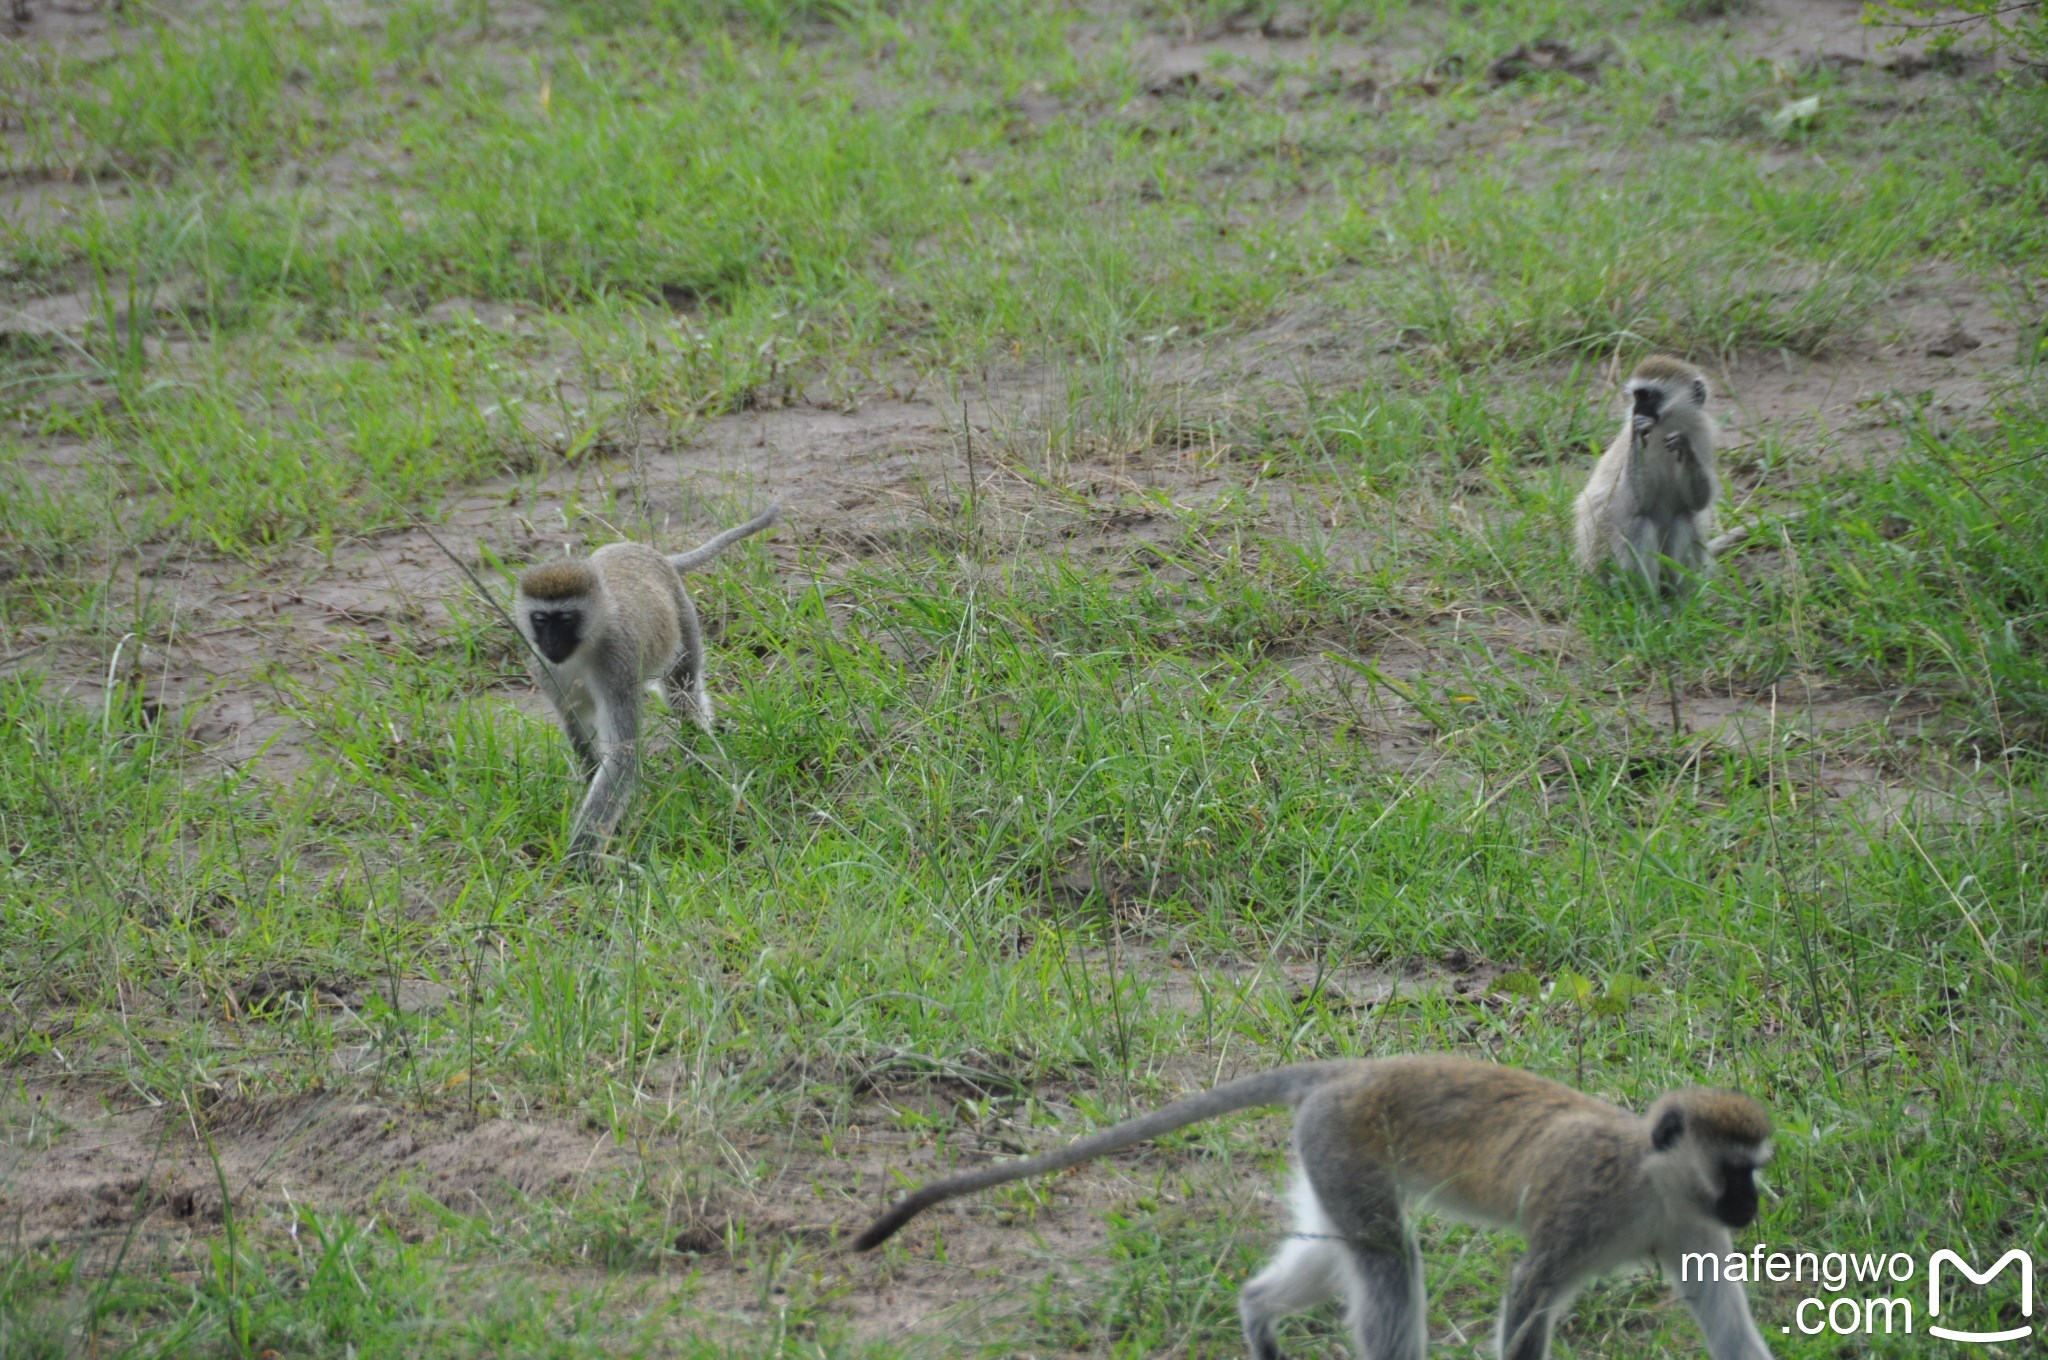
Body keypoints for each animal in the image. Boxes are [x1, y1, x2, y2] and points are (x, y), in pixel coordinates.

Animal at [516, 503, 778, 856]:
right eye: (542, 620)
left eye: (566, 620)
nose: (551, 644)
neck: (584, 649)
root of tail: (652, 553)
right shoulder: (545, 668)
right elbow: (579, 731)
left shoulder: (617, 666)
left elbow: (622, 755)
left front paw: (582, 851)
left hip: (683, 617)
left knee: (683, 693)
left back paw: (701, 744)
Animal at [847, 1048, 1777, 1360]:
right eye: (1738, 1171)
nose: (1754, 1207)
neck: (1654, 1184)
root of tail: (1350, 1071)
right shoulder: (1583, 1205)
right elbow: (1527, 1295)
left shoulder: (1694, 1232)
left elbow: (1723, 1316)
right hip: (1342, 1140)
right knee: (1388, 1263)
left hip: (1328, 1153)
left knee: (1345, 1251)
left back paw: (1258, 1314)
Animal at [1572, 356, 1720, 602]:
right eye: (1637, 396)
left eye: (1650, 396)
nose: (1636, 409)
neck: (1667, 425)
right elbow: (1639, 505)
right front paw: (1637, 434)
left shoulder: (1703, 434)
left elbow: (1697, 503)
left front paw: (1684, 447)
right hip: (1610, 570)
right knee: (1639, 524)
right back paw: (1648, 601)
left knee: (1683, 517)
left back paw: (1679, 599)